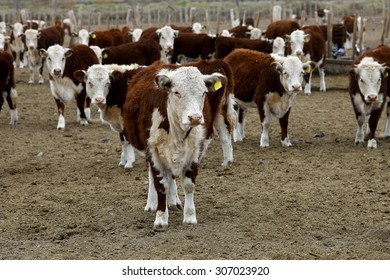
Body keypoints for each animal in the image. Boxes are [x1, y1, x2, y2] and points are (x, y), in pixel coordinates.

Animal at [122, 61, 225, 230]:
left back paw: (173, 201)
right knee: (152, 176)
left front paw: (189, 216)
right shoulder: (154, 152)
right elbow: (160, 185)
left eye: (203, 93)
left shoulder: (194, 152)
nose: (195, 117)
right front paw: (160, 218)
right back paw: (151, 203)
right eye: (176, 92)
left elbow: (188, 185)